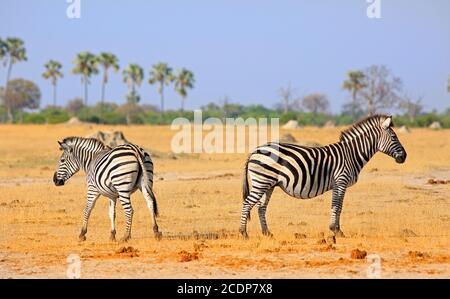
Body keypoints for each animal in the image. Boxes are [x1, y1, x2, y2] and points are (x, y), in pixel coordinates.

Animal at [239, 115, 408, 241]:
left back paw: (267, 233)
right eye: (394, 137)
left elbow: (338, 206)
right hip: (262, 181)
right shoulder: (341, 181)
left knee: (261, 207)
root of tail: (254, 151)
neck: (351, 154)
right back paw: (243, 233)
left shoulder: (339, 183)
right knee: (247, 203)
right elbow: (337, 206)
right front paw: (336, 231)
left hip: (268, 184)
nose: (405, 157)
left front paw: (336, 230)